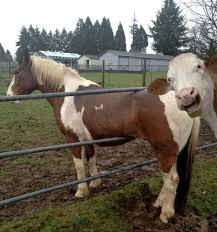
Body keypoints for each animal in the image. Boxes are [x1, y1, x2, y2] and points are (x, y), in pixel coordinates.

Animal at [6, 51, 200, 224]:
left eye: (17, 71)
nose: (9, 96)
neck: (66, 94)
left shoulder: (72, 139)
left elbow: (79, 165)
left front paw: (81, 191)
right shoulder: (88, 138)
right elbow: (91, 160)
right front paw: (94, 184)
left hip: (164, 150)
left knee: (172, 180)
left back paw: (165, 214)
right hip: (172, 152)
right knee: (168, 179)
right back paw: (158, 203)